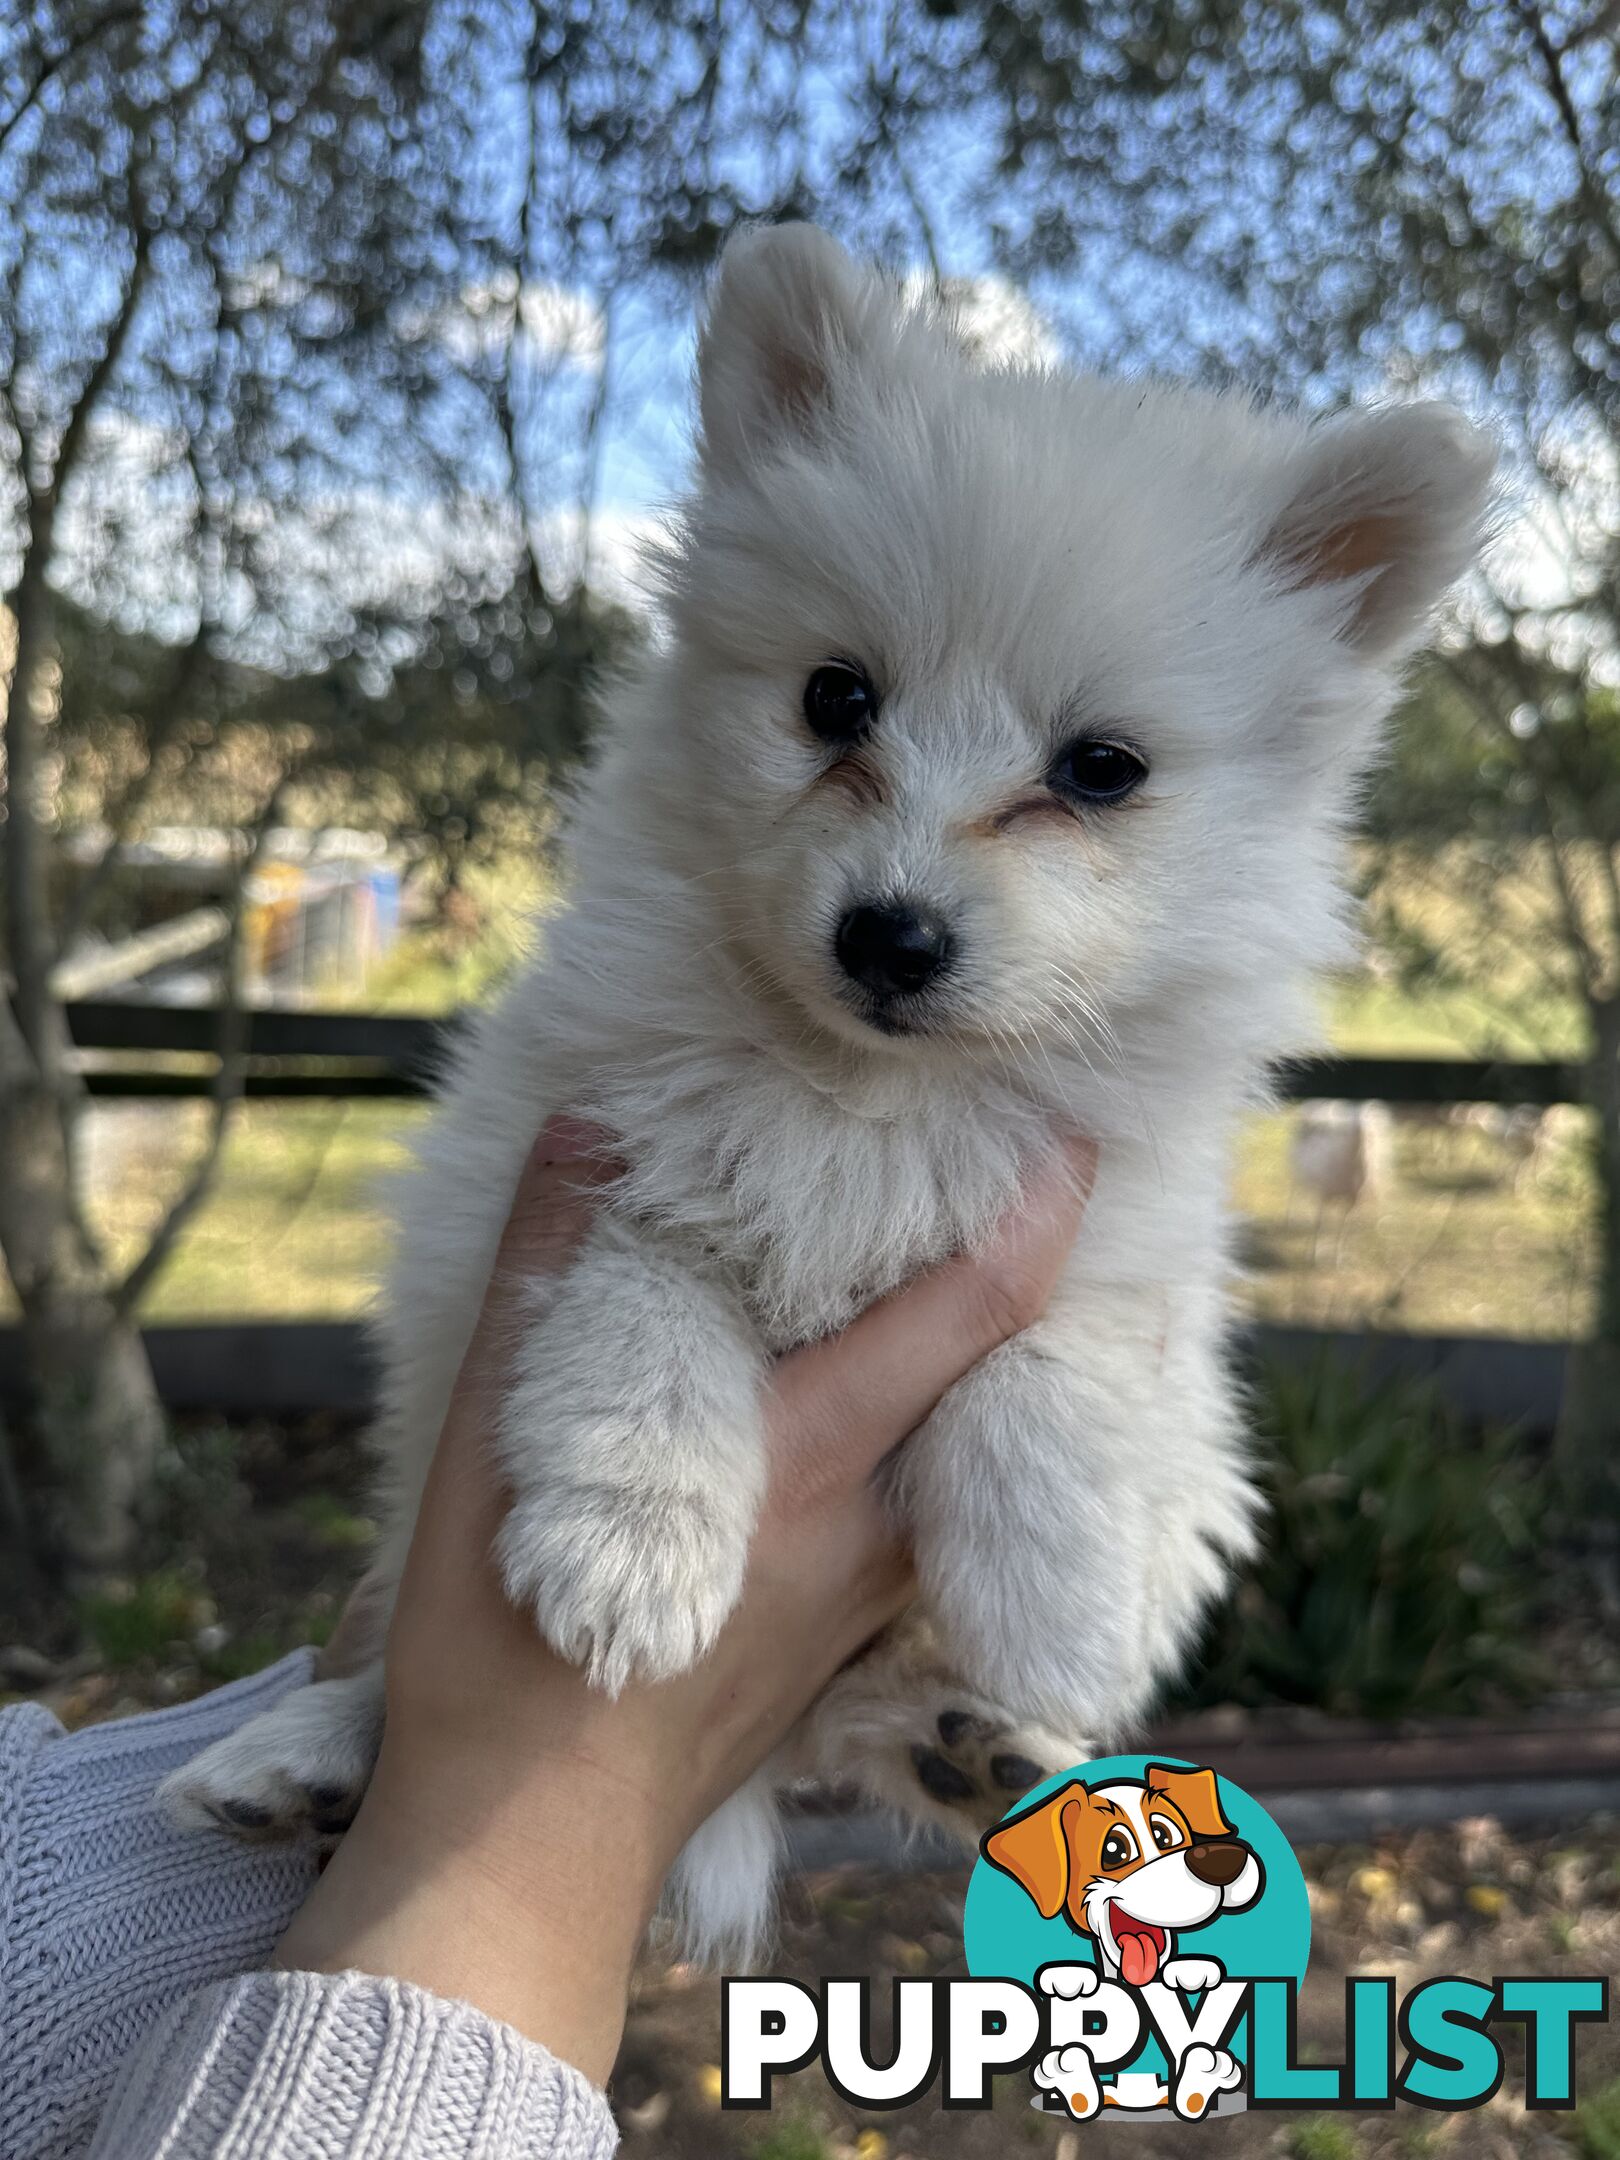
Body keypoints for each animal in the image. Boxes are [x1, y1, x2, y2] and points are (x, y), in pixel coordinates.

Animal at [165, 227, 1494, 1969]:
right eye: (836, 701)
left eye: (1103, 769)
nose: (892, 934)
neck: (870, 1098)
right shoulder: (599, 1165)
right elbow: (651, 1324)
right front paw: (631, 1557)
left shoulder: (1104, 1229)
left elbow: (1051, 1371)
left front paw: (1047, 1606)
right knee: (399, 1645)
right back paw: (306, 1761)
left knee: (869, 1728)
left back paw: (973, 1737)